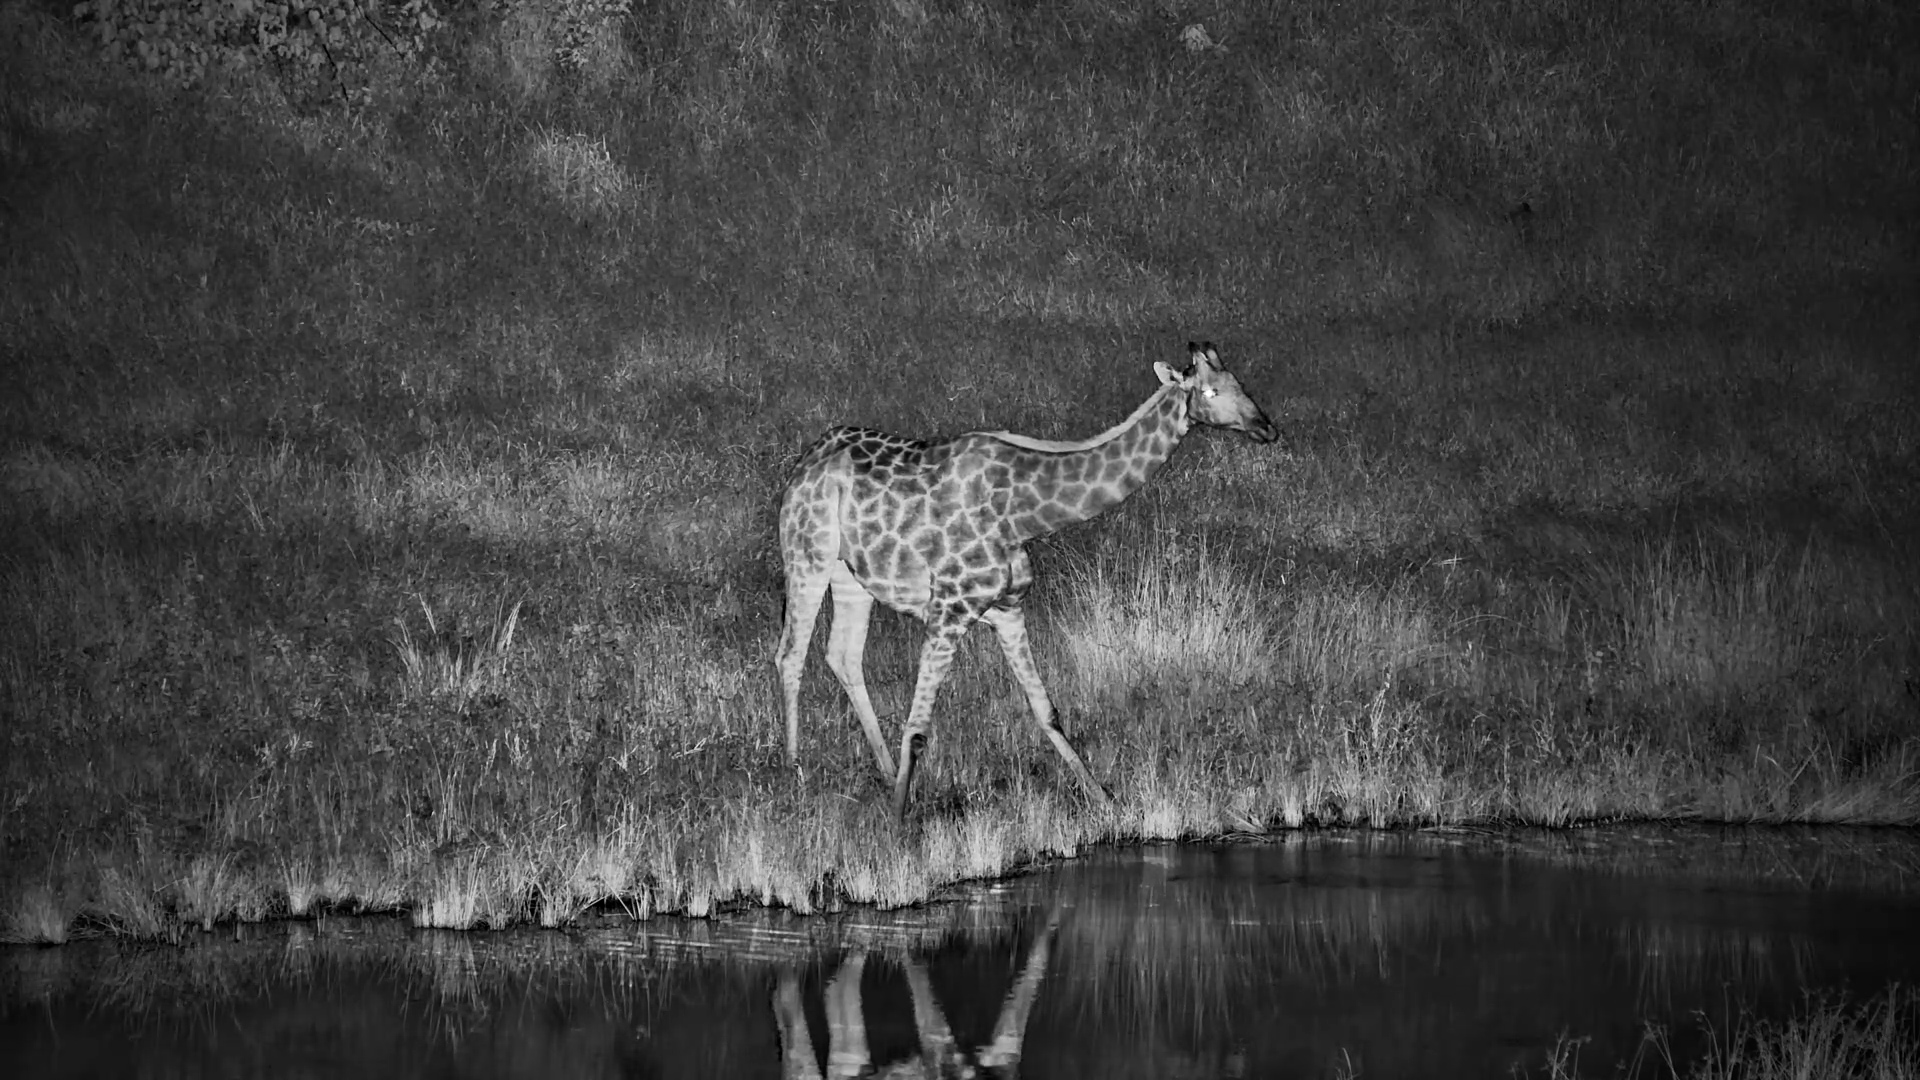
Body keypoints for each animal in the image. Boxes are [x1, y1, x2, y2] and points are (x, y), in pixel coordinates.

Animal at [775, 342, 1279, 820]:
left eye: (1240, 383)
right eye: (1210, 391)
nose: (1267, 428)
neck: (1023, 515)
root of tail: (809, 458)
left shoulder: (1008, 608)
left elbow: (1047, 711)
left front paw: (1104, 800)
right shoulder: (947, 610)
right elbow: (918, 729)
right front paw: (899, 822)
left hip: (851, 576)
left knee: (842, 655)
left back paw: (881, 772)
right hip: (807, 553)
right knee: (790, 654)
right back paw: (795, 771)